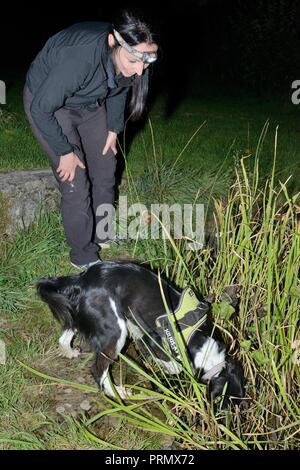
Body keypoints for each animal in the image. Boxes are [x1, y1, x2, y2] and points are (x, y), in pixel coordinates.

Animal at [37, 260, 244, 408]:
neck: (201, 342)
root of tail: (82, 279)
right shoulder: (154, 341)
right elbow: (174, 366)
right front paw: (168, 369)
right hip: (115, 331)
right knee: (98, 369)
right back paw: (117, 392)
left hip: (83, 314)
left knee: (66, 333)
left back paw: (69, 352)